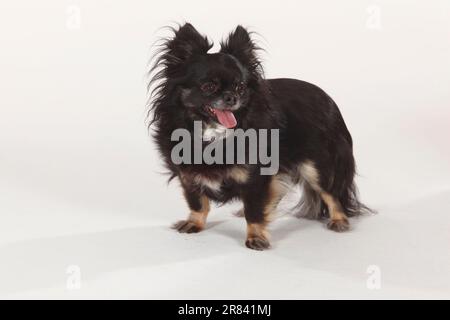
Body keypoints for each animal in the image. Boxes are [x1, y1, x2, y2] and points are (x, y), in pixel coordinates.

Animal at [148, 23, 370, 251]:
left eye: (240, 87)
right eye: (209, 86)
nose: (231, 97)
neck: (215, 135)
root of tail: (330, 102)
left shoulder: (257, 177)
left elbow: (254, 210)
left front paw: (256, 237)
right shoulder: (187, 175)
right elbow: (197, 202)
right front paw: (194, 223)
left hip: (316, 166)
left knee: (332, 193)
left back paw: (339, 220)